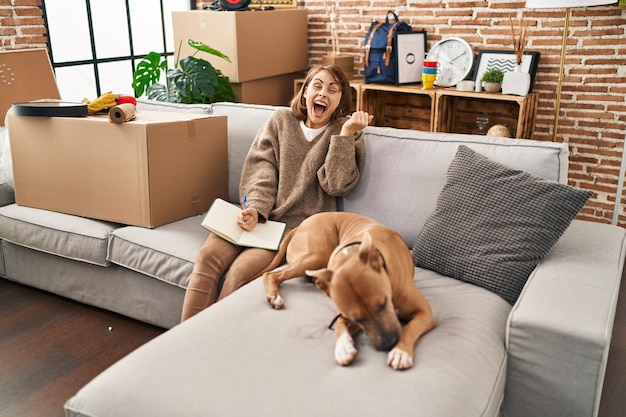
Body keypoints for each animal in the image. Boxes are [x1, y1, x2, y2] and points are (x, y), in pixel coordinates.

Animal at [260, 211, 434, 370]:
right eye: (356, 319)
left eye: (384, 303)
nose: (389, 343)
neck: (349, 255)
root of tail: (300, 225)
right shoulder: (345, 314)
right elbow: (339, 325)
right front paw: (343, 347)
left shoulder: (424, 312)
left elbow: (410, 327)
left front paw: (401, 351)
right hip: (314, 257)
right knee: (271, 274)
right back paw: (275, 296)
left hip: (315, 258)